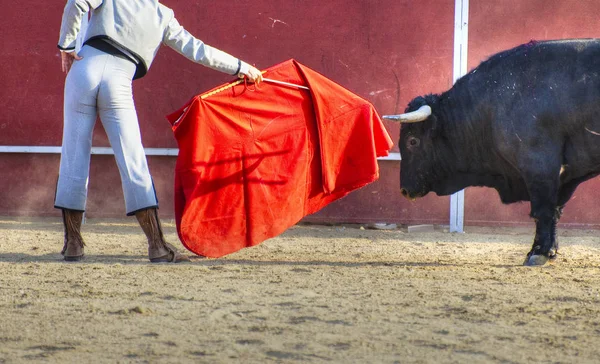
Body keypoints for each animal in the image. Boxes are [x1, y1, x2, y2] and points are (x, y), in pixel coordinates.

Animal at [384, 39, 600, 266]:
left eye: (412, 141)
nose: (404, 190)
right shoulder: (563, 176)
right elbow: (554, 211)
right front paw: (548, 251)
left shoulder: (540, 166)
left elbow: (542, 210)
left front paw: (538, 253)